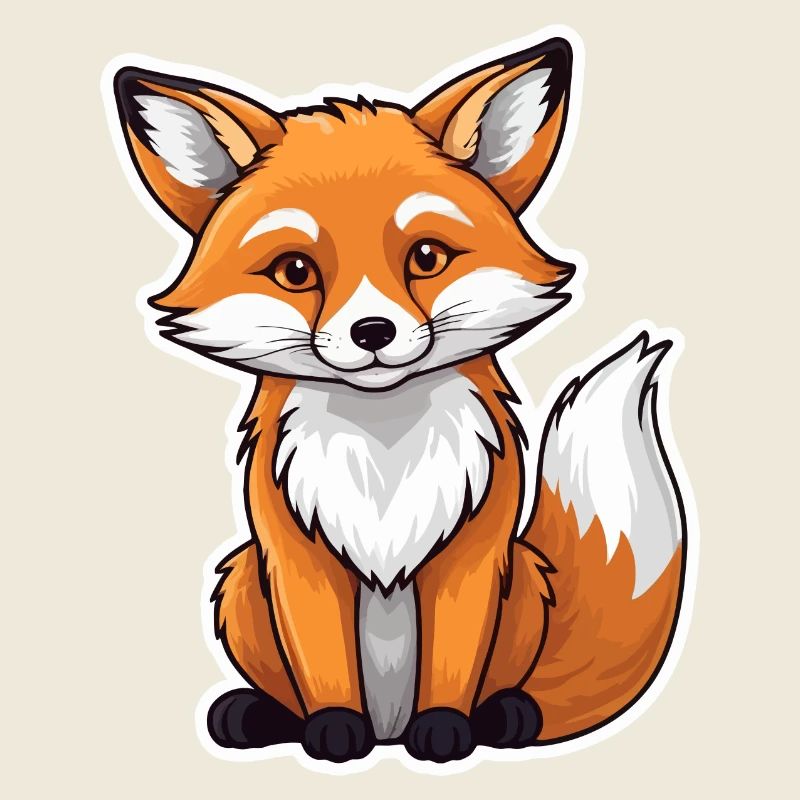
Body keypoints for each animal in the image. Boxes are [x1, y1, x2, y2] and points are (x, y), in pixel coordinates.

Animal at [108, 35, 688, 764]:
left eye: (428, 256)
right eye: (295, 271)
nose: (373, 331)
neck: (383, 450)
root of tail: (390, 728)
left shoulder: (471, 559)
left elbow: (452, 663)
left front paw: (444, 732)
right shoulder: (297, 562)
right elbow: (325, 667)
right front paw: (333, 732)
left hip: (523, 580)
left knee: (513, 697)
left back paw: (504, 715)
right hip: (241, 578)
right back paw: (260, 716)